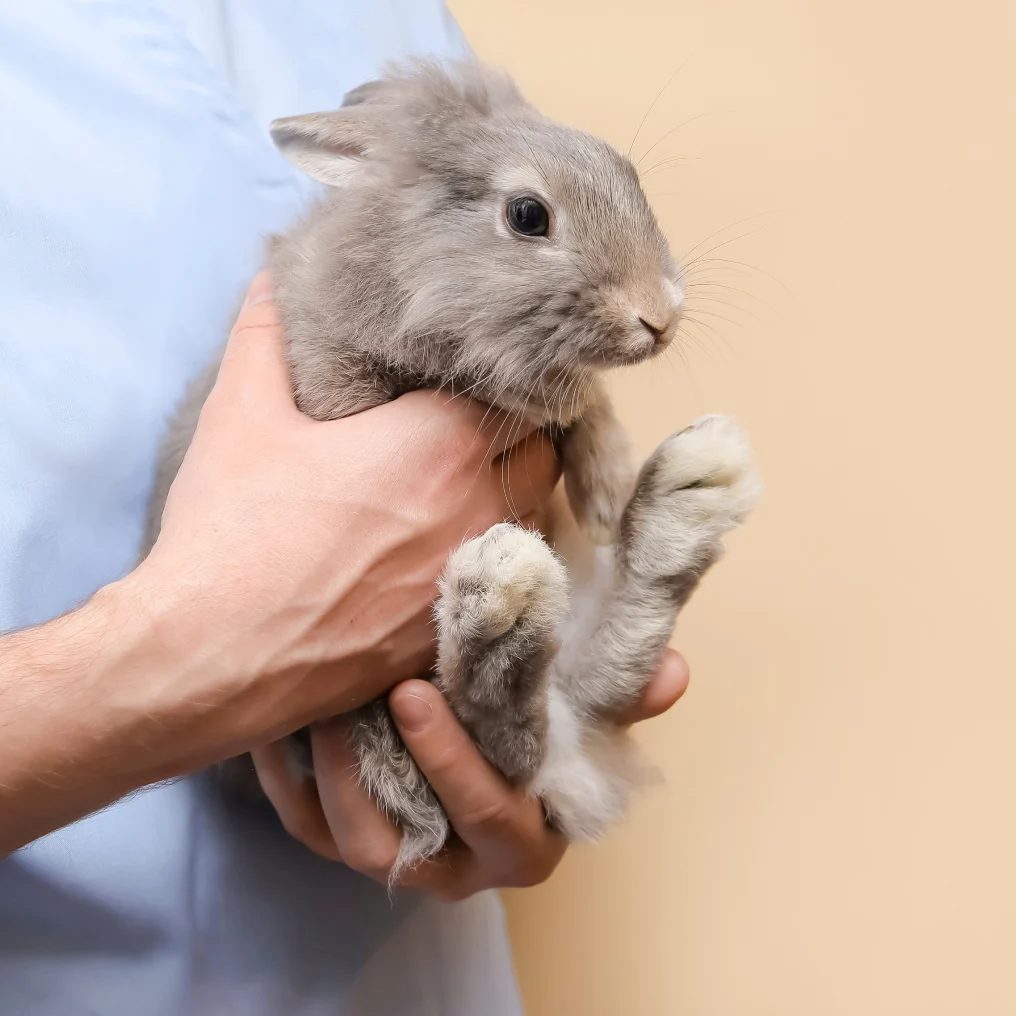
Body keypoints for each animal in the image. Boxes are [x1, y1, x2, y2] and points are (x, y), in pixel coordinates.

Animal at [143, 59, 760, 878]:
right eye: (528, 215)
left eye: (627, 176)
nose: (659, 315)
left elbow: (586, 405)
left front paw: (605, 491)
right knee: (500, 743)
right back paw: (504, 600)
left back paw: (686, 491)